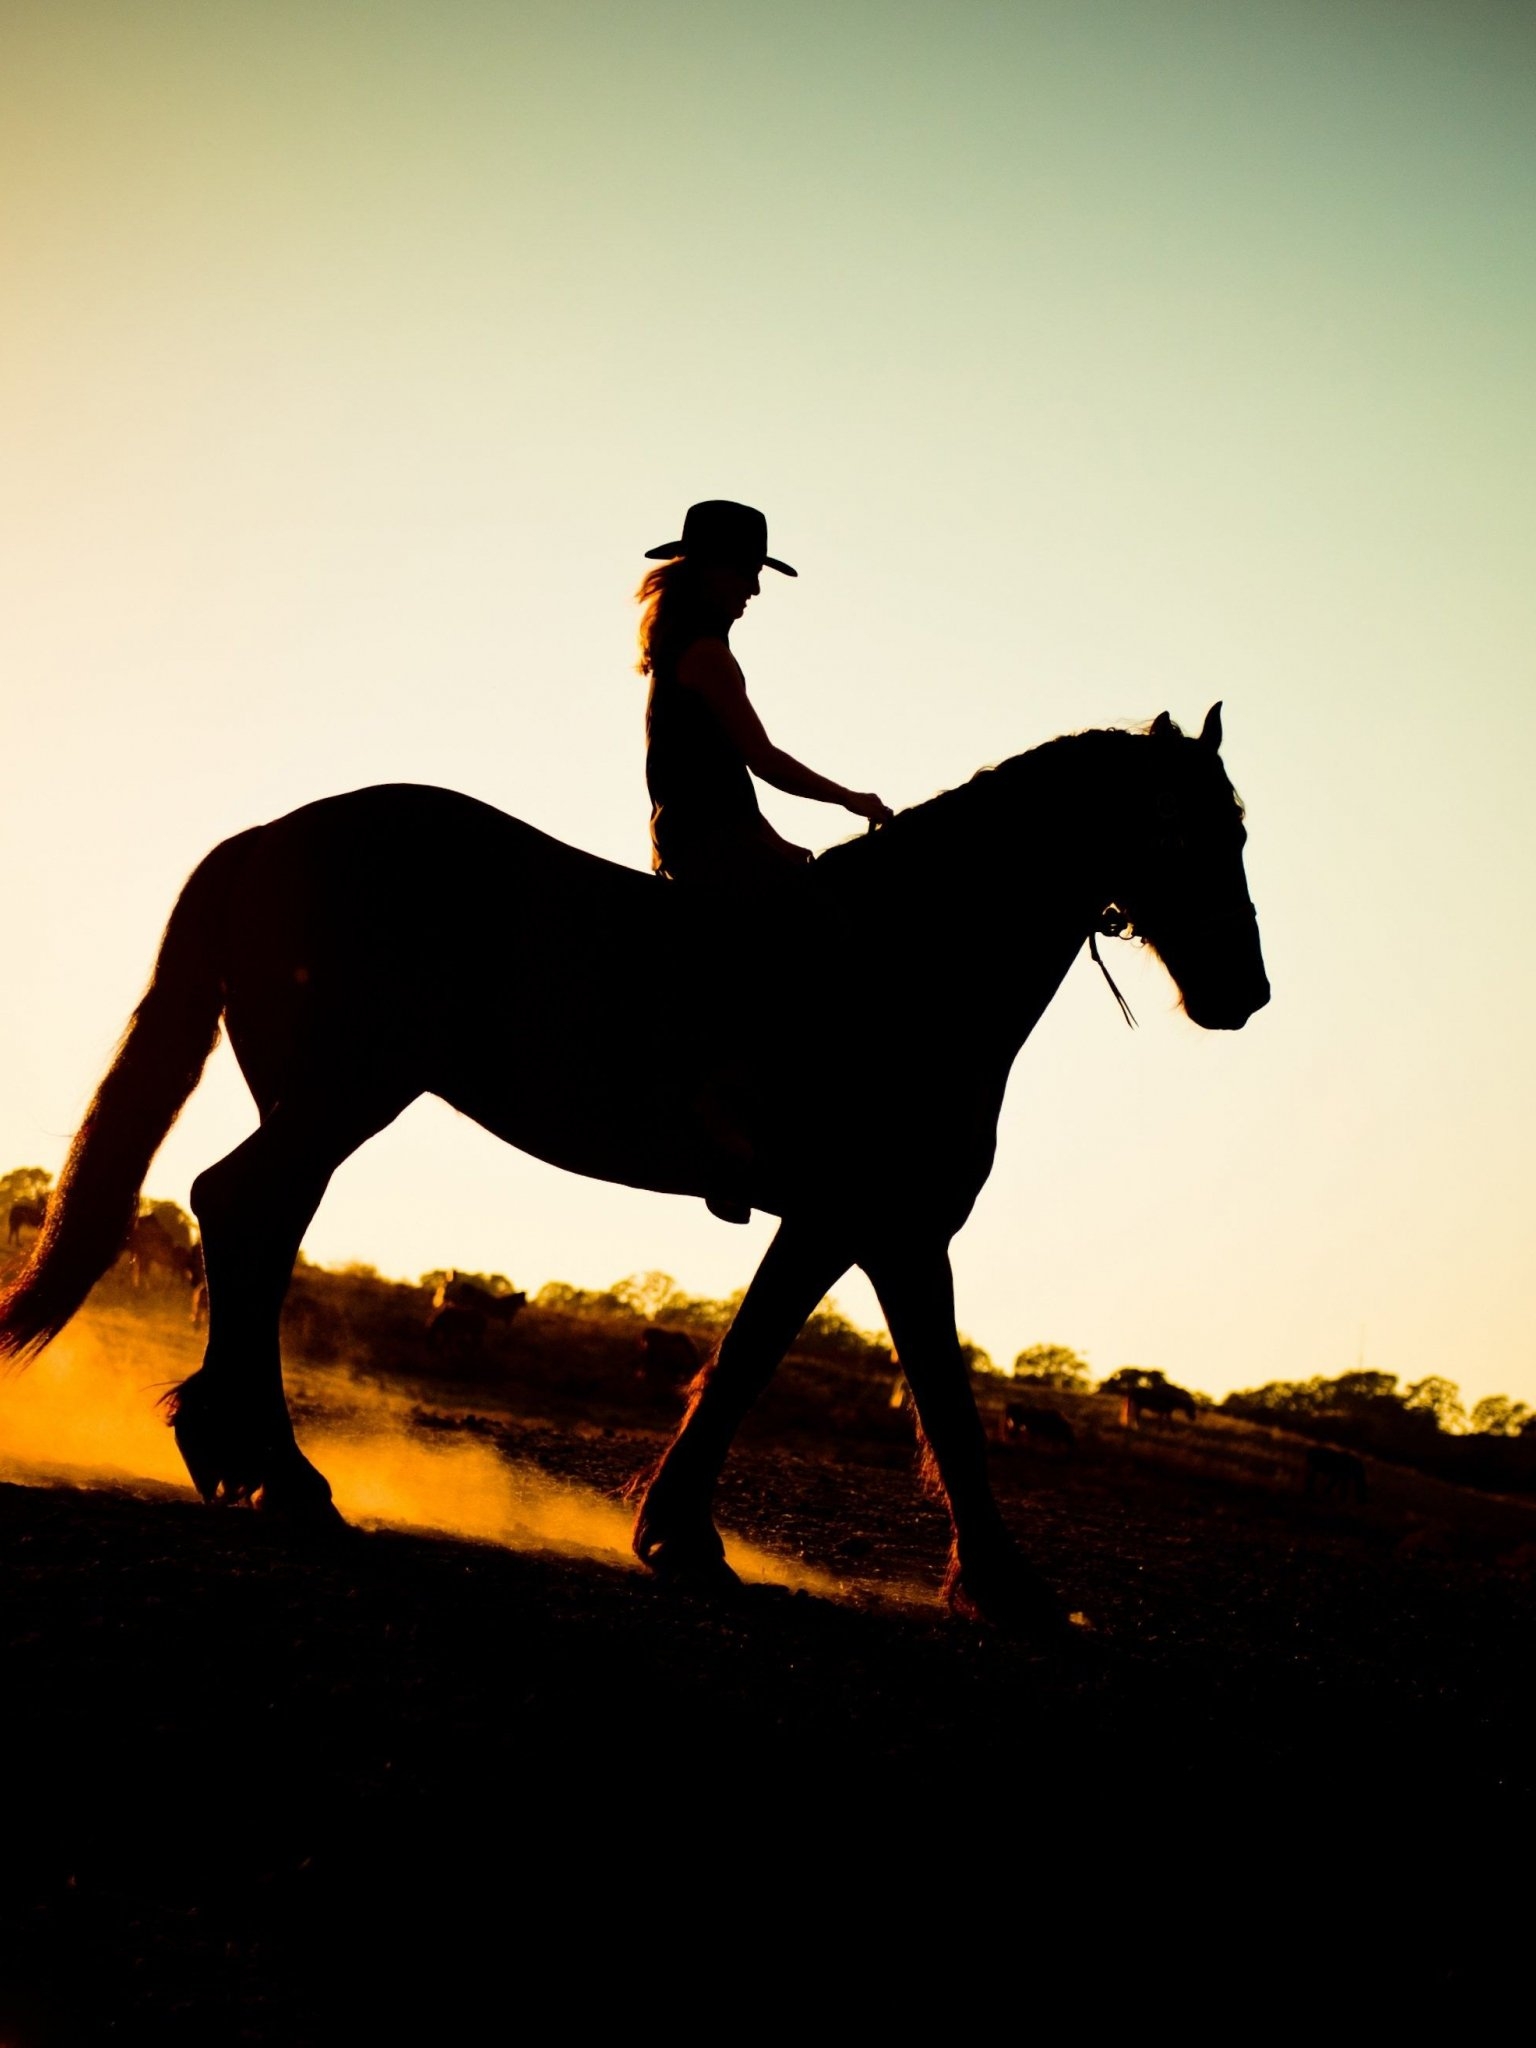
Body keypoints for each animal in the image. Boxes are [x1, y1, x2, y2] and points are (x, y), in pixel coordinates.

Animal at [0, 704, 1269, 1630]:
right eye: (1199, 830)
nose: (1244, 991)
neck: (918, 960)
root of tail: (270, 836)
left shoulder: (834, 1224)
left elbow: (750, 1359)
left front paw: (681, 1536)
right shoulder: (892, 1225)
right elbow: (939, 1401)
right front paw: (1008, 1588)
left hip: (330, 1102)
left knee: (247, 1219)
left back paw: (235, 1455)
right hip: (343, 1096)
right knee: (246, 1215)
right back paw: (276, 1470)